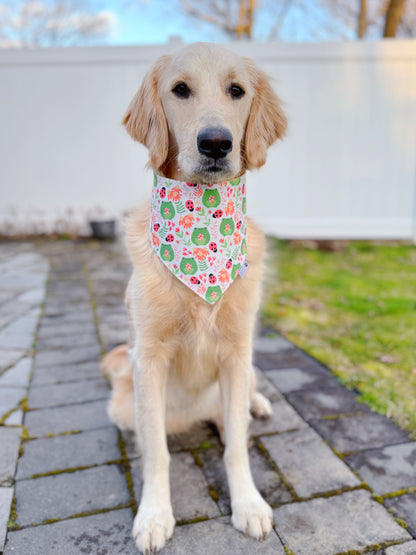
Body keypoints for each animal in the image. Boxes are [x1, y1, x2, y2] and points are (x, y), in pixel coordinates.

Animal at [103, 43, 288, 555]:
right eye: (180, 89)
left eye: (237, 91)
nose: (216, 143)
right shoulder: (149, 357)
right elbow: (157, 454)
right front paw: (154, 515)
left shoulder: (237, 351)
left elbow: (236, 448)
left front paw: (248, 505)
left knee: (240, 408)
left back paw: (257, 405)